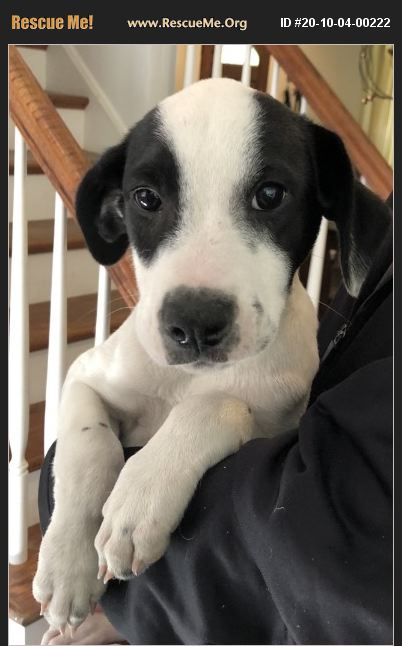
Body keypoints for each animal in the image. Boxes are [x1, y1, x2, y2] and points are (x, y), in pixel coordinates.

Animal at [33, 78, 392, 636]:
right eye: (145, 198)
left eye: (270, 194)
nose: (194, 324)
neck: (185, 379)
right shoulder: (84, 375)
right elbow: (89, 446)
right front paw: (67, 564)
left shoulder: (277, 422)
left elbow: (217, 405)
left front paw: (139, 498)